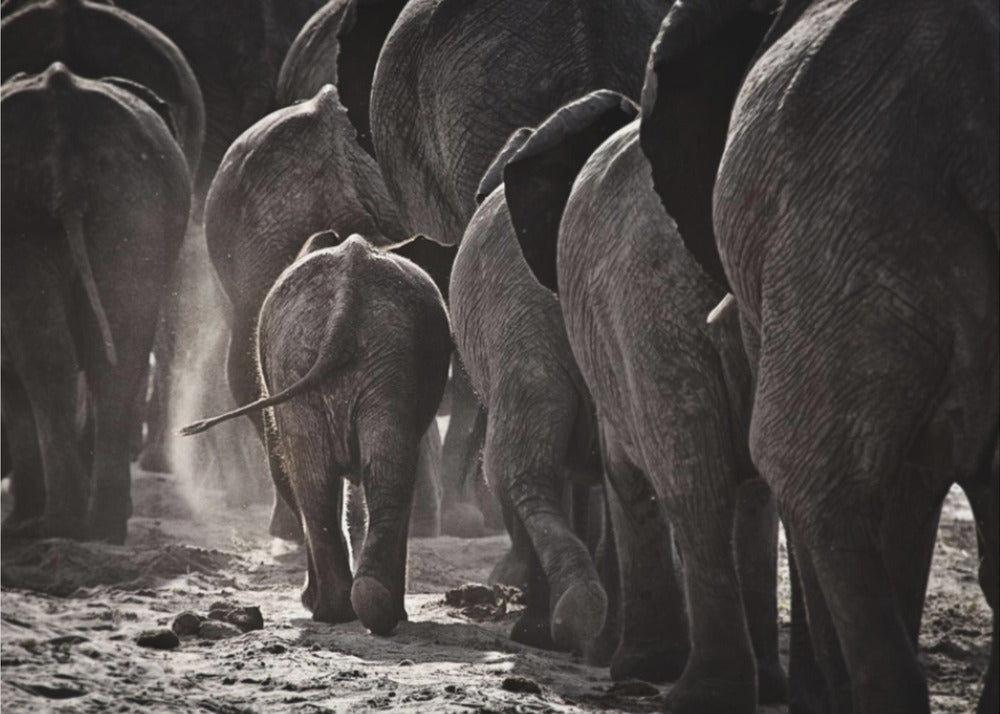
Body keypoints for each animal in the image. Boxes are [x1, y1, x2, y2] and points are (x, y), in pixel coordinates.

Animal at [182, 234, 452, 636]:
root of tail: (346, 299)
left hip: (343, 357)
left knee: (321, 480)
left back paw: (341, 608)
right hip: (352, 356)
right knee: (361, 475)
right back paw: (361, 607)